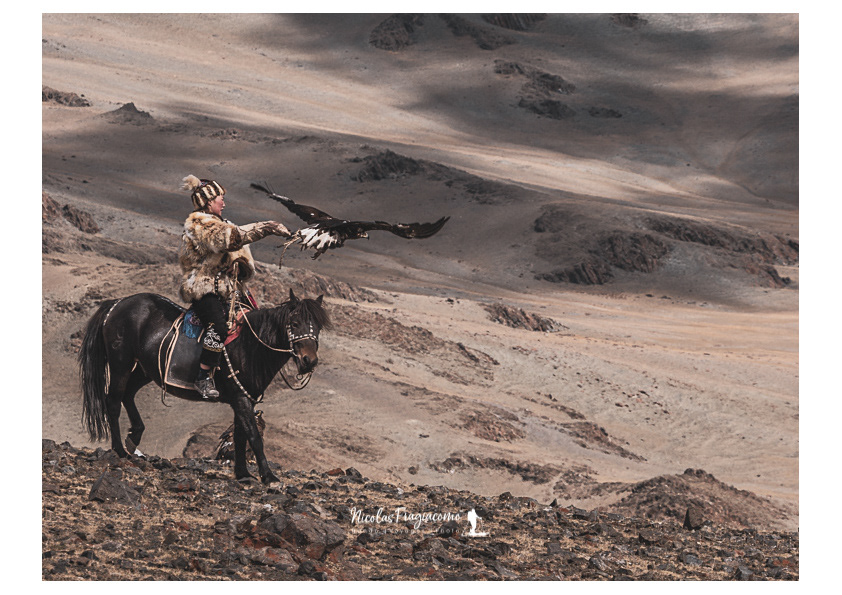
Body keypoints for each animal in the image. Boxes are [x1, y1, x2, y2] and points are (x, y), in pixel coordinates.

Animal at [78, 289, 331, 484]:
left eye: (318, 327)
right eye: (294, 323)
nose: (309, 361)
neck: (251, 346)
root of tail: (116, 305)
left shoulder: (244, 398)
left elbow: (240, 436)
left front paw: (243, 474)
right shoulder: (240, 398)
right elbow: (253, 436)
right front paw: (269, 477)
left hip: (144, 369)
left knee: (128, 395)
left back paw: (134, 438)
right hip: (120, 363)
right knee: (113, 401)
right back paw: (120, 450)